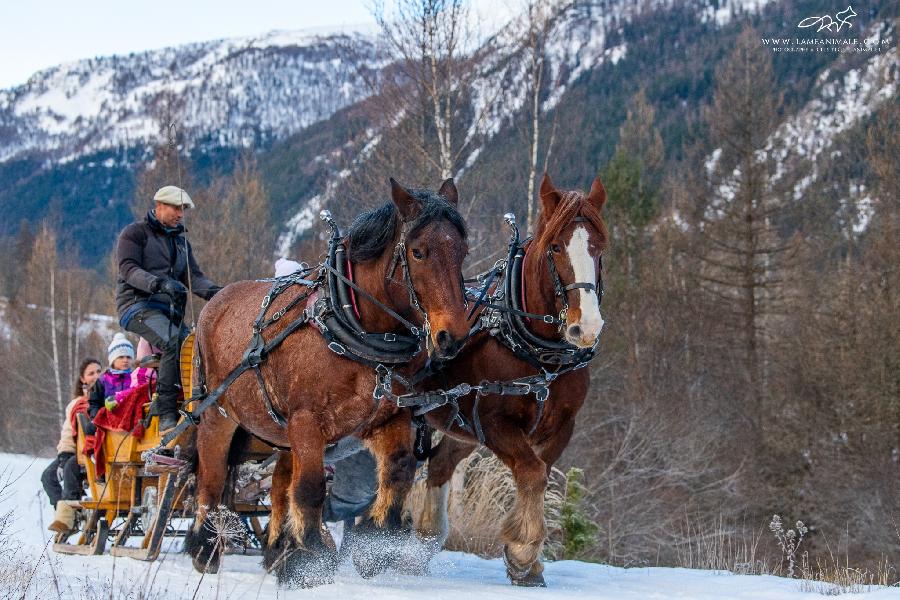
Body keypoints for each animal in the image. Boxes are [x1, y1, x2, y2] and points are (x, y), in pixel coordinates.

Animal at [185, 178, 468, 584]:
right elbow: (310, 489)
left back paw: (277, 548)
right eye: (418, 252)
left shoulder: (388, 419)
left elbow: (398, 471)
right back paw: (206, 546)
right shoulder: (307, 422)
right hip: (218, 415)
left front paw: (373, 542)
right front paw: (311, 558)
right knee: (210, 477)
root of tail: (214, 302)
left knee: (278, 486)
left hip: (277, 431)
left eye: (462, 250)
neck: (353, 328)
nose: (453, 336)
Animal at [414, 173, 612, 584]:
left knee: (439, 465)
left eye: (598, 247)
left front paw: (528, 562)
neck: (540, 354)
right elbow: (532, 473)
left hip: (459, 423)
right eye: (555, 247)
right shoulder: (494, 422)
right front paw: (521, 551)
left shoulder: (559, 426)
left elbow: (539, 474)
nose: (586, 327)